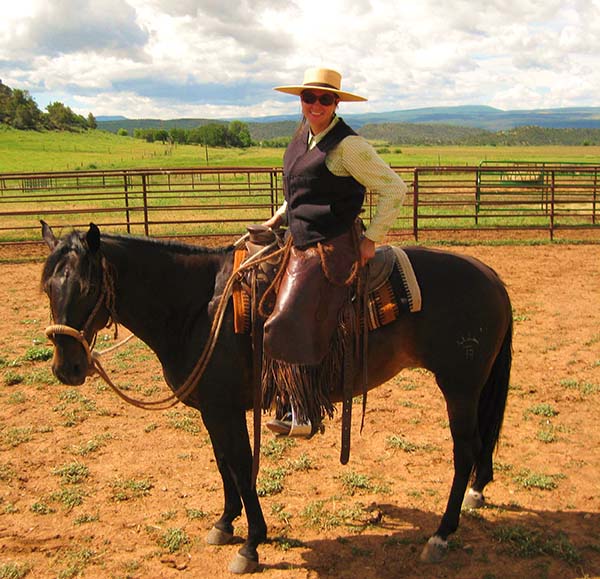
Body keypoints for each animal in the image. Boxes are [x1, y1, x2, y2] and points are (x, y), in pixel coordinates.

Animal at [39, 222, 512, 576]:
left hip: (460, 387)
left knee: (465, 451)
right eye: (48, 289)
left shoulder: (228, 410)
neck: (196, 307)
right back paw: (474, 496)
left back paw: (442, 534)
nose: (67, 367)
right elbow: (223, 464)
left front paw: (251, 544)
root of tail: (489, 274)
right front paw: (225, 523)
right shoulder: (213, 410)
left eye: (87, 287)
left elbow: (241, 466)